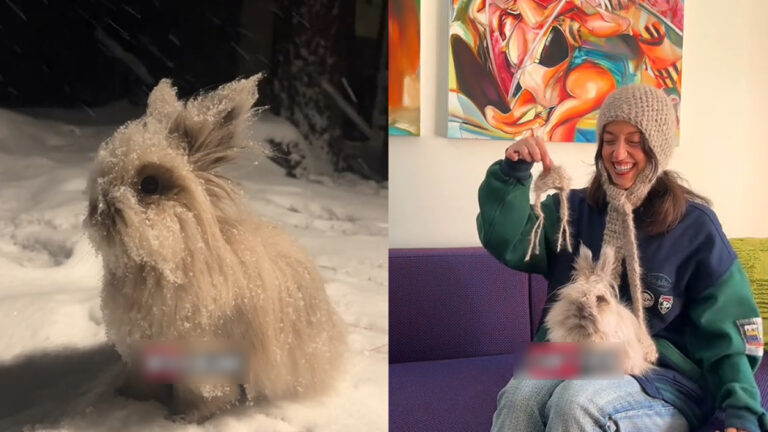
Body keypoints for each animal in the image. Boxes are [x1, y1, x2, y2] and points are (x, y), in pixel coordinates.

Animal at [83, 75, 346, 423]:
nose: (96, 211)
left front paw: (184, 418)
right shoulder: (140, 350)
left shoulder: (201, 357)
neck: (165, 261)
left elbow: (205, 393)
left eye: (149, 185)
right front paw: (127, 398)